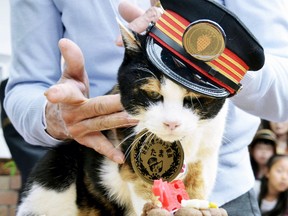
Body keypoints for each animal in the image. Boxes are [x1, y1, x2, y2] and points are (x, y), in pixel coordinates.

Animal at [16, 24, 227, 215]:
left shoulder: (206, 152)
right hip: (55, 168)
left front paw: (196, 203)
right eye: (152, 94)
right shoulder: (130, 145)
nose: (172, 123)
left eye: (192, 100)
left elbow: (197, 181)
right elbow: (143, 185)